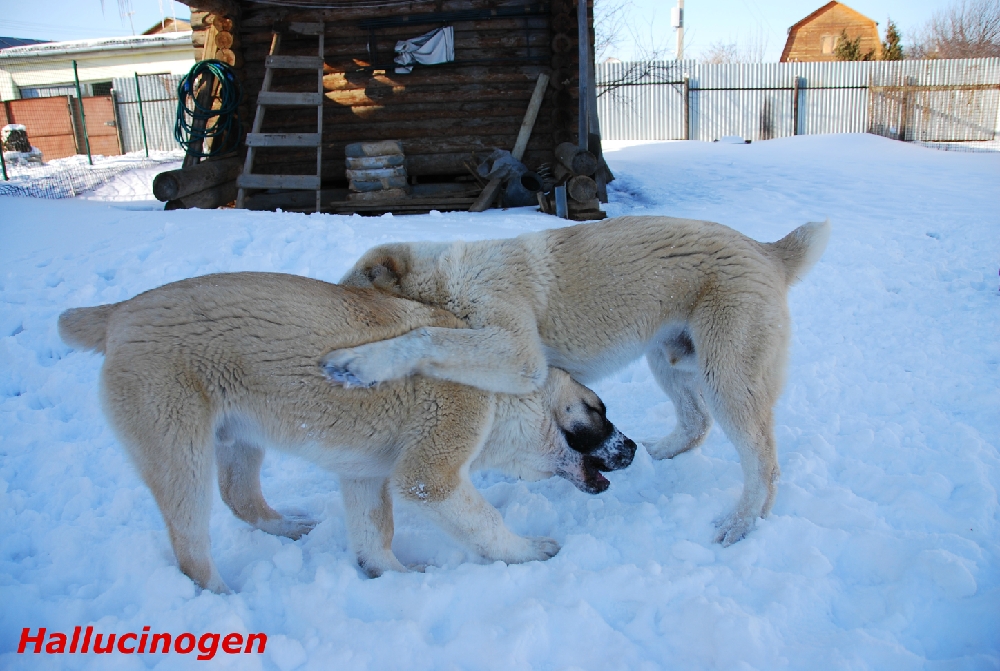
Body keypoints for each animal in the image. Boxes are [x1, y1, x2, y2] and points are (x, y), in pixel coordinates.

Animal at [322, 215, 828, 544]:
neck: (452, 282)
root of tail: (767, 250)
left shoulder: (518, 352)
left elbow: (427, 336)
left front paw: (358, 363)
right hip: (668, 358)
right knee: (695, 422)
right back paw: (660, 452)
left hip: (727, 375)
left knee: (763, 463)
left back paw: (742, 524)